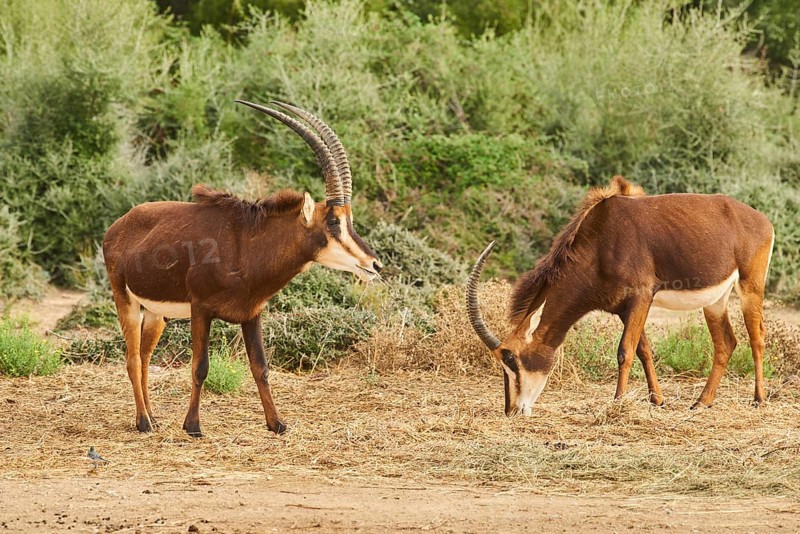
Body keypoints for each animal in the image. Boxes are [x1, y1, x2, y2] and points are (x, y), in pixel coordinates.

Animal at [103, 100, 382, 436]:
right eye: (332, 221)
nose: (374, 264)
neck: (246, 245)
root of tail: (116, 227)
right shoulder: (201, 309)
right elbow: (200, 366)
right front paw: (193, 426)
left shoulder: (252, 314)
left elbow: (260, 367)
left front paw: (277, 423)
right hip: (126, 300)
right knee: (132, 358)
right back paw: (143, 422)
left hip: (157, 313)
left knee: (144, 357)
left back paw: (151, 417)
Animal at [467, 176, 774, 415]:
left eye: (511, 359)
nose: (512, 410)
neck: (601, 238)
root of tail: (762, 220)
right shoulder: (623, 308)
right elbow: (642, 349)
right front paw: (657, 400)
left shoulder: (641, 297)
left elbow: (625, 351)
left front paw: (617, 402)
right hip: (715, 301)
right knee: (726, 342)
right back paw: (701, 402)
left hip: (750, 287)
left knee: (757, 337)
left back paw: (758, 399)